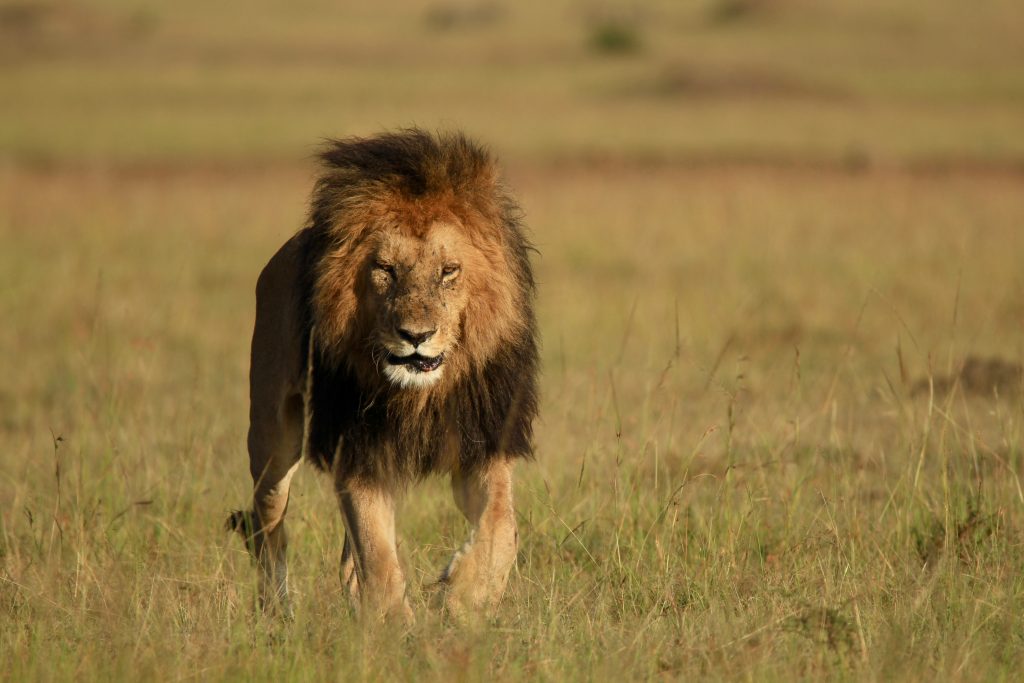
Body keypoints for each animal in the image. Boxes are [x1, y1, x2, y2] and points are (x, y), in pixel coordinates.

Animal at [227, 129, 538, 620]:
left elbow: (501, 527)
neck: (420, 394)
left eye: (448, 271)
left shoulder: (483, 444)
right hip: (272, 439)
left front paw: (463, 599)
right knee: (267, 523)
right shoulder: (357, 449)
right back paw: (278, 612)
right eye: (385, 270)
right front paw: (398, 626)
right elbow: (377, 554)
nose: (415, 336)